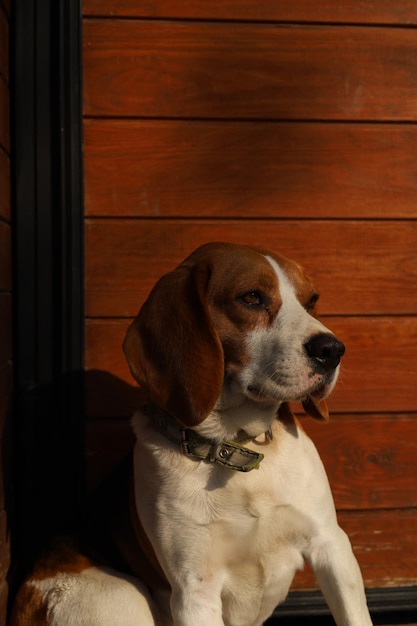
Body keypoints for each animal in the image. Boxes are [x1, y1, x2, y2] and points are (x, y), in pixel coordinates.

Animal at [12, 243, 370, 624]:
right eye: (251, 297)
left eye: (311, 301)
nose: (332, 350)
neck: (235, 449)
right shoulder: (195, 590)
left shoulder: (332, 546)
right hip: (120, 597)